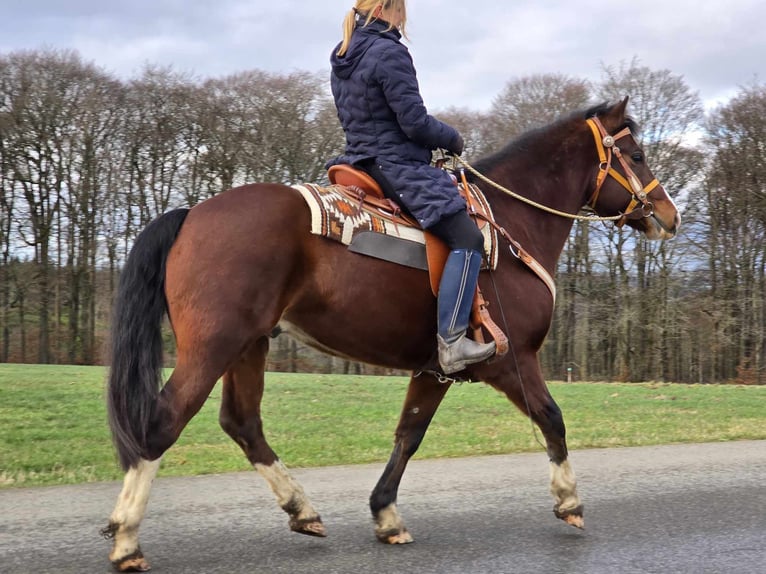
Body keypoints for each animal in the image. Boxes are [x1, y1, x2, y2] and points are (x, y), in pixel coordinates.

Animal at [102, 98, 684, 572]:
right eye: (635, 154)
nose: (669, 215)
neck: (511, 224)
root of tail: (192, 213)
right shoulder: (510, 360)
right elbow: (552, 419)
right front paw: (568, 500)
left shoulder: (436, 369)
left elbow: (409, 433)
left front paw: (385, 514)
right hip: (215, 345)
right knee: (162, 423)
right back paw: (127, 538)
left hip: (250, 345)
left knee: (243, 423)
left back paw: (301, 508)